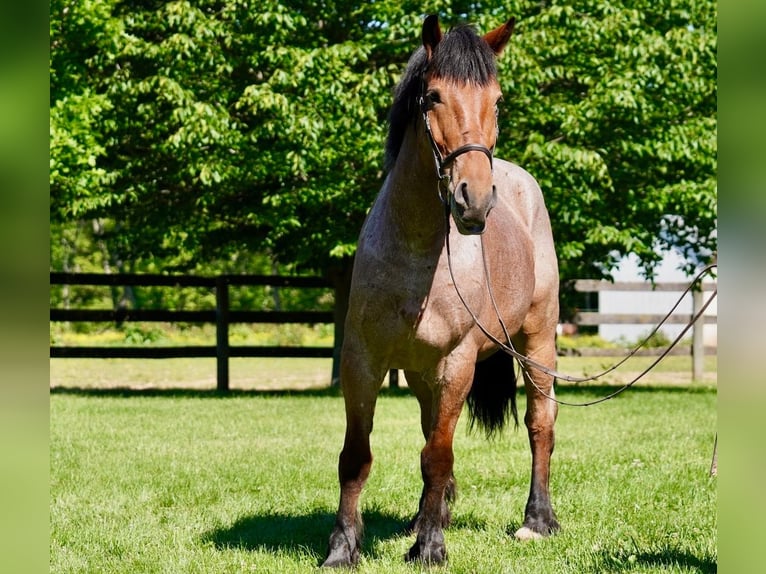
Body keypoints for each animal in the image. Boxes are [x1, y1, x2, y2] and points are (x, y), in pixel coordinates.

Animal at [322, 14, 560, 567]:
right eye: (432, 96)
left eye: (497, 100)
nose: (474, 199)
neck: (414, 254)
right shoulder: (363, 359)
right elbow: (356, 456)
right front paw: (344, 547)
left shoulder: (457, 364)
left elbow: (438, 454)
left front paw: (429, 547)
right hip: (420, 374)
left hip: (538, 343)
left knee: (540, 424)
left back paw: (537, 521)